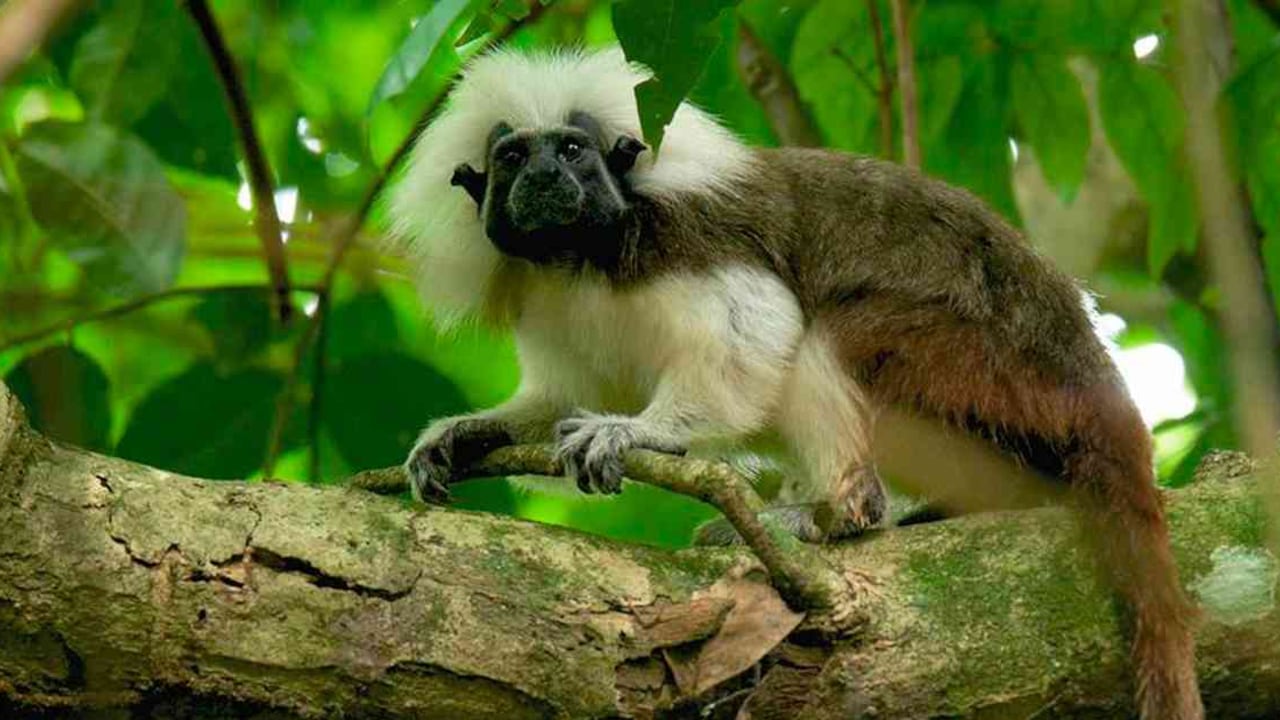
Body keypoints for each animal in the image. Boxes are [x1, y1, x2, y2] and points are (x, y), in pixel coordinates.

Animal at [389, 48, 1201, 719]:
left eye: (572, 150)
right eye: (512, 158)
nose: (546, 179)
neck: (582, 256)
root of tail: (1091, 374)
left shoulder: (689, 239)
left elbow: (757, 326)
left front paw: (639, 430)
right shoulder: (547, 300)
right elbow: (562, 401)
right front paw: (466, 435)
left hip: (989, 370)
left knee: (829, 332)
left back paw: (833, 513)